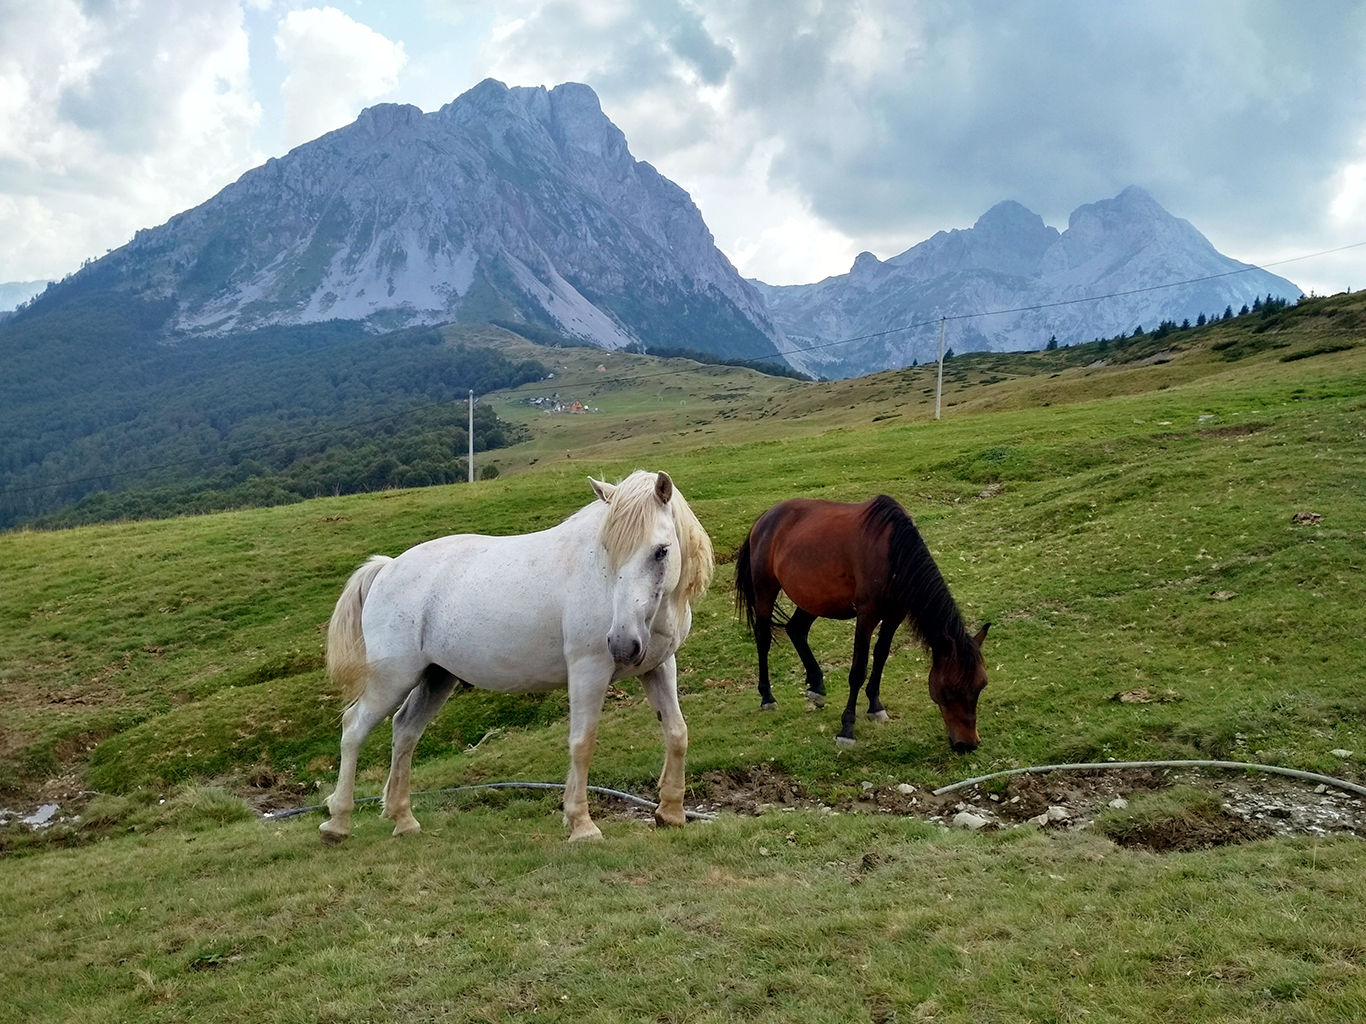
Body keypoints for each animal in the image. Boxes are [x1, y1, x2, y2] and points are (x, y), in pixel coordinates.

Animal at [318, 472, 715, 841]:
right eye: (607, 550)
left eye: (660, 551)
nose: (621, 644)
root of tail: (387, 567)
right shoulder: (589, 671)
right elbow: (582, 743)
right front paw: (582, 825)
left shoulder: (658, 666)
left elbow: (677, 732)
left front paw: (671, 812)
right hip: (392, 680)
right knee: (354, 729)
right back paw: (337, 822)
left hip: (436, 678)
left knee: (405, 731)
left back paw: (403, 819)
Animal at [737, 496, 994, 753]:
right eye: (949, 689)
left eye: (981, 685)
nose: (967, 744)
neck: (892, 551)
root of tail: (763, 519)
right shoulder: (867, 615)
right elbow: (858, 671)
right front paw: (847, 730)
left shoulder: (894, 615)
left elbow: (880, 656)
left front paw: (875, 706)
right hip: (765, 591)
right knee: (764, 639)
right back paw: (767, 697)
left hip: (814, 599)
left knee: (796, 630)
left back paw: (816, 687)